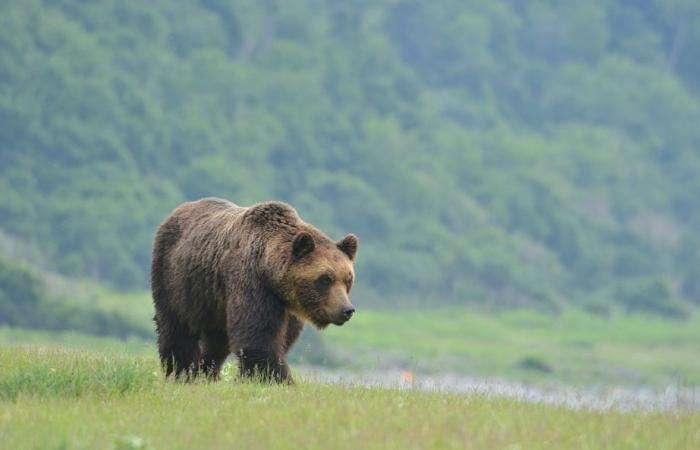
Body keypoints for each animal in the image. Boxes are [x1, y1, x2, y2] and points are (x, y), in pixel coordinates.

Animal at [150, 197, 358, 383]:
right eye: (325, 279)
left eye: (348, 279)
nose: (347, 310)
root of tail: (176, 212)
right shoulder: (251, 282)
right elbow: (259, 336)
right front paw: (278, 380)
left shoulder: (286, 306)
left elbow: (282, 339)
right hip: (176, 279)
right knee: (176, 326)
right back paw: (181, 371)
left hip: (215, 301)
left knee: (217, 341)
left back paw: (206, 372)